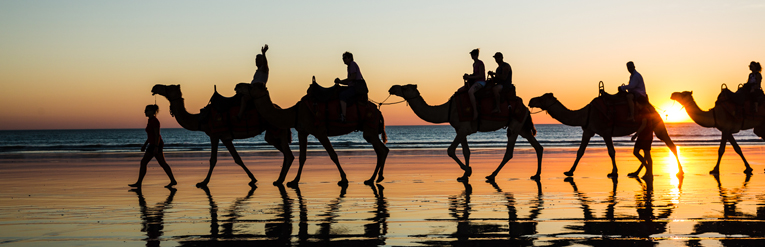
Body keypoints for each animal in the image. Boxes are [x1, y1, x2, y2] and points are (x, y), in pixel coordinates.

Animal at [151, 84, 292, 186]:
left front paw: (203, 182)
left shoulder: (214, 135)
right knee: (281, 150)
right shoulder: (225, 137)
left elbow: (213, 160)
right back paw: (280, 179)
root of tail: (280, 109)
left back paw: (281, 180)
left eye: (169, 87)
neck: (201, 119)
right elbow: (237, 159)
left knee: (288, 154)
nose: (155, 87)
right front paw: (253, 179)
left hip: (277, 129)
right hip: (272, 133)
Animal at [246, 82, 388, 185]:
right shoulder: (302, 132)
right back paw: (374, 178)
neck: (295, 112)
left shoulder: (320, 132)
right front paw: (294, 181)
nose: (241, 86)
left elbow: (333, 155)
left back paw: (375, 178)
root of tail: (379, 111)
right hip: (370, 130)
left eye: (252, 86)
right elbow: (302, 157)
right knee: (380, 151)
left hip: (370, 127)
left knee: (382, 150)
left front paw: (343, 179)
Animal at [388, 84, 544, 180]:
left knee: (509, 152)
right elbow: (466, 151)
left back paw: (492, 175)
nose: (392, 88)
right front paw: (464, 175)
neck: (448, 110)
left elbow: (450, 150)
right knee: (538, 146)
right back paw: (536, 175)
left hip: (515, 125)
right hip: (522, 127)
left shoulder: (463, 129)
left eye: (405, 87)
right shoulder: (460, 129)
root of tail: (526, 109)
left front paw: (467, 171)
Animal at [528, 92, 684, 178]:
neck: (586, 113)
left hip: (657, 124)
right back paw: (638, 172)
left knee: (671, 145)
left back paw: (679, 172)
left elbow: (611, 151)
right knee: (646, 150)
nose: (531, 100)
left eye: (542, 98)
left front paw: (614, 172)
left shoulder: (605, 131)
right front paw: (569, 171)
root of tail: (652, 107)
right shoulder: (588, 130)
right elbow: (580, 151)